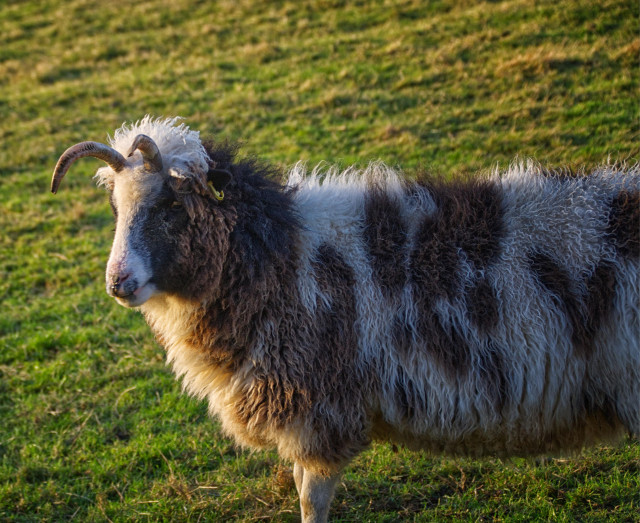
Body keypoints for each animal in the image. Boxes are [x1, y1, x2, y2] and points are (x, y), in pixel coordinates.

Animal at [53, 116, 640, 520]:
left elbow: (311, 500)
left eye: (171, 206)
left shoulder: (318, 411)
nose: (117, 282)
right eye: (116, 209)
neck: (278, 258)